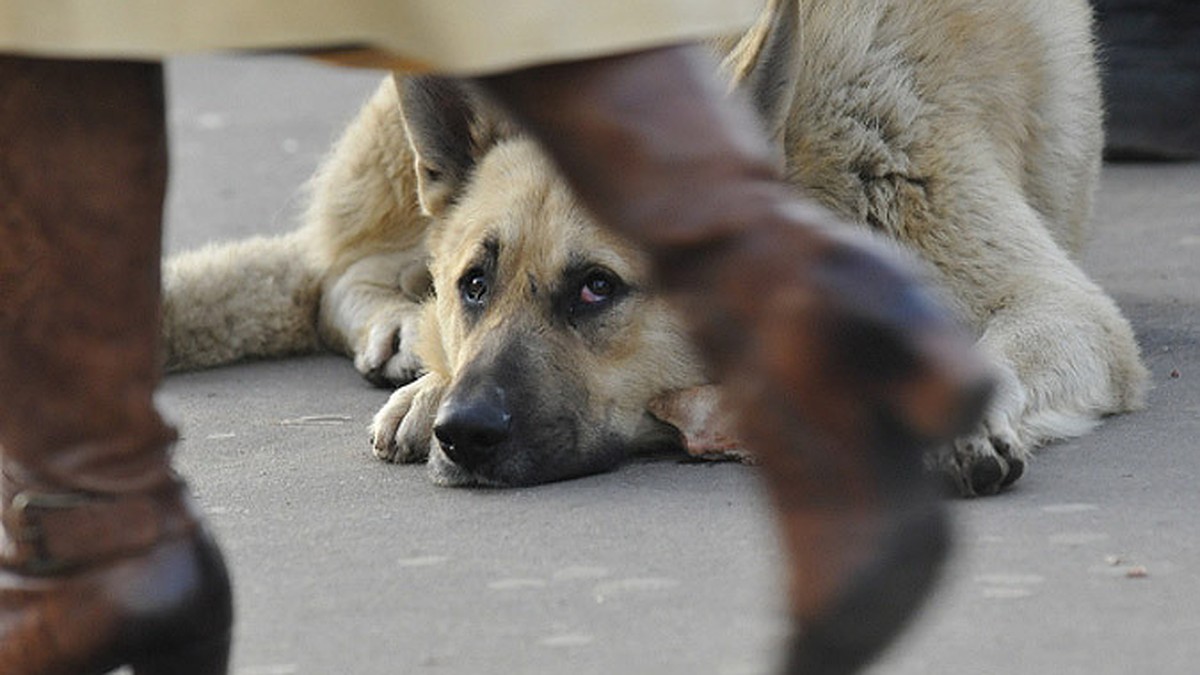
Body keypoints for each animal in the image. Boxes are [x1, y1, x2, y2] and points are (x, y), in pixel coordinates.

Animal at [159, 0, 1142, 494]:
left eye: (597, 288)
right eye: (475, 283)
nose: (463, 432)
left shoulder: (1055, 305)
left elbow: (1002, 345)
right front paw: (430, 377)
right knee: (338, 268)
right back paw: (405, 338)